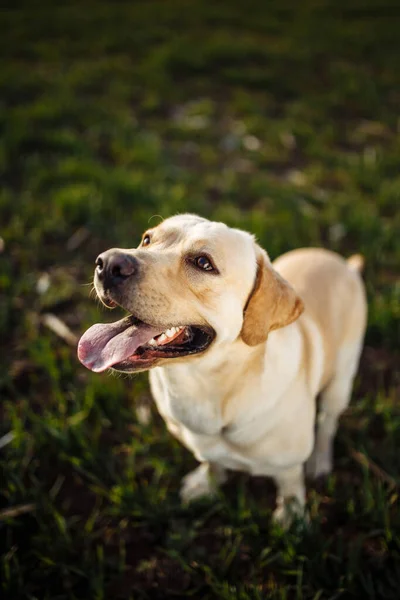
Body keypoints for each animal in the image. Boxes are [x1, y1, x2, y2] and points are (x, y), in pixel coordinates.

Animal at [77, 216, 366, 524]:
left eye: (203, 262)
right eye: (147, 239)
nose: (108, 263)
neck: (203, 387)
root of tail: (343, 264)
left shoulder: (288, 464)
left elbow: (289, 483)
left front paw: (291, 513)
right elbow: (213, 462)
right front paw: (206, 483)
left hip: (341, 382)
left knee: (328, 422)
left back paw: (320, 460)